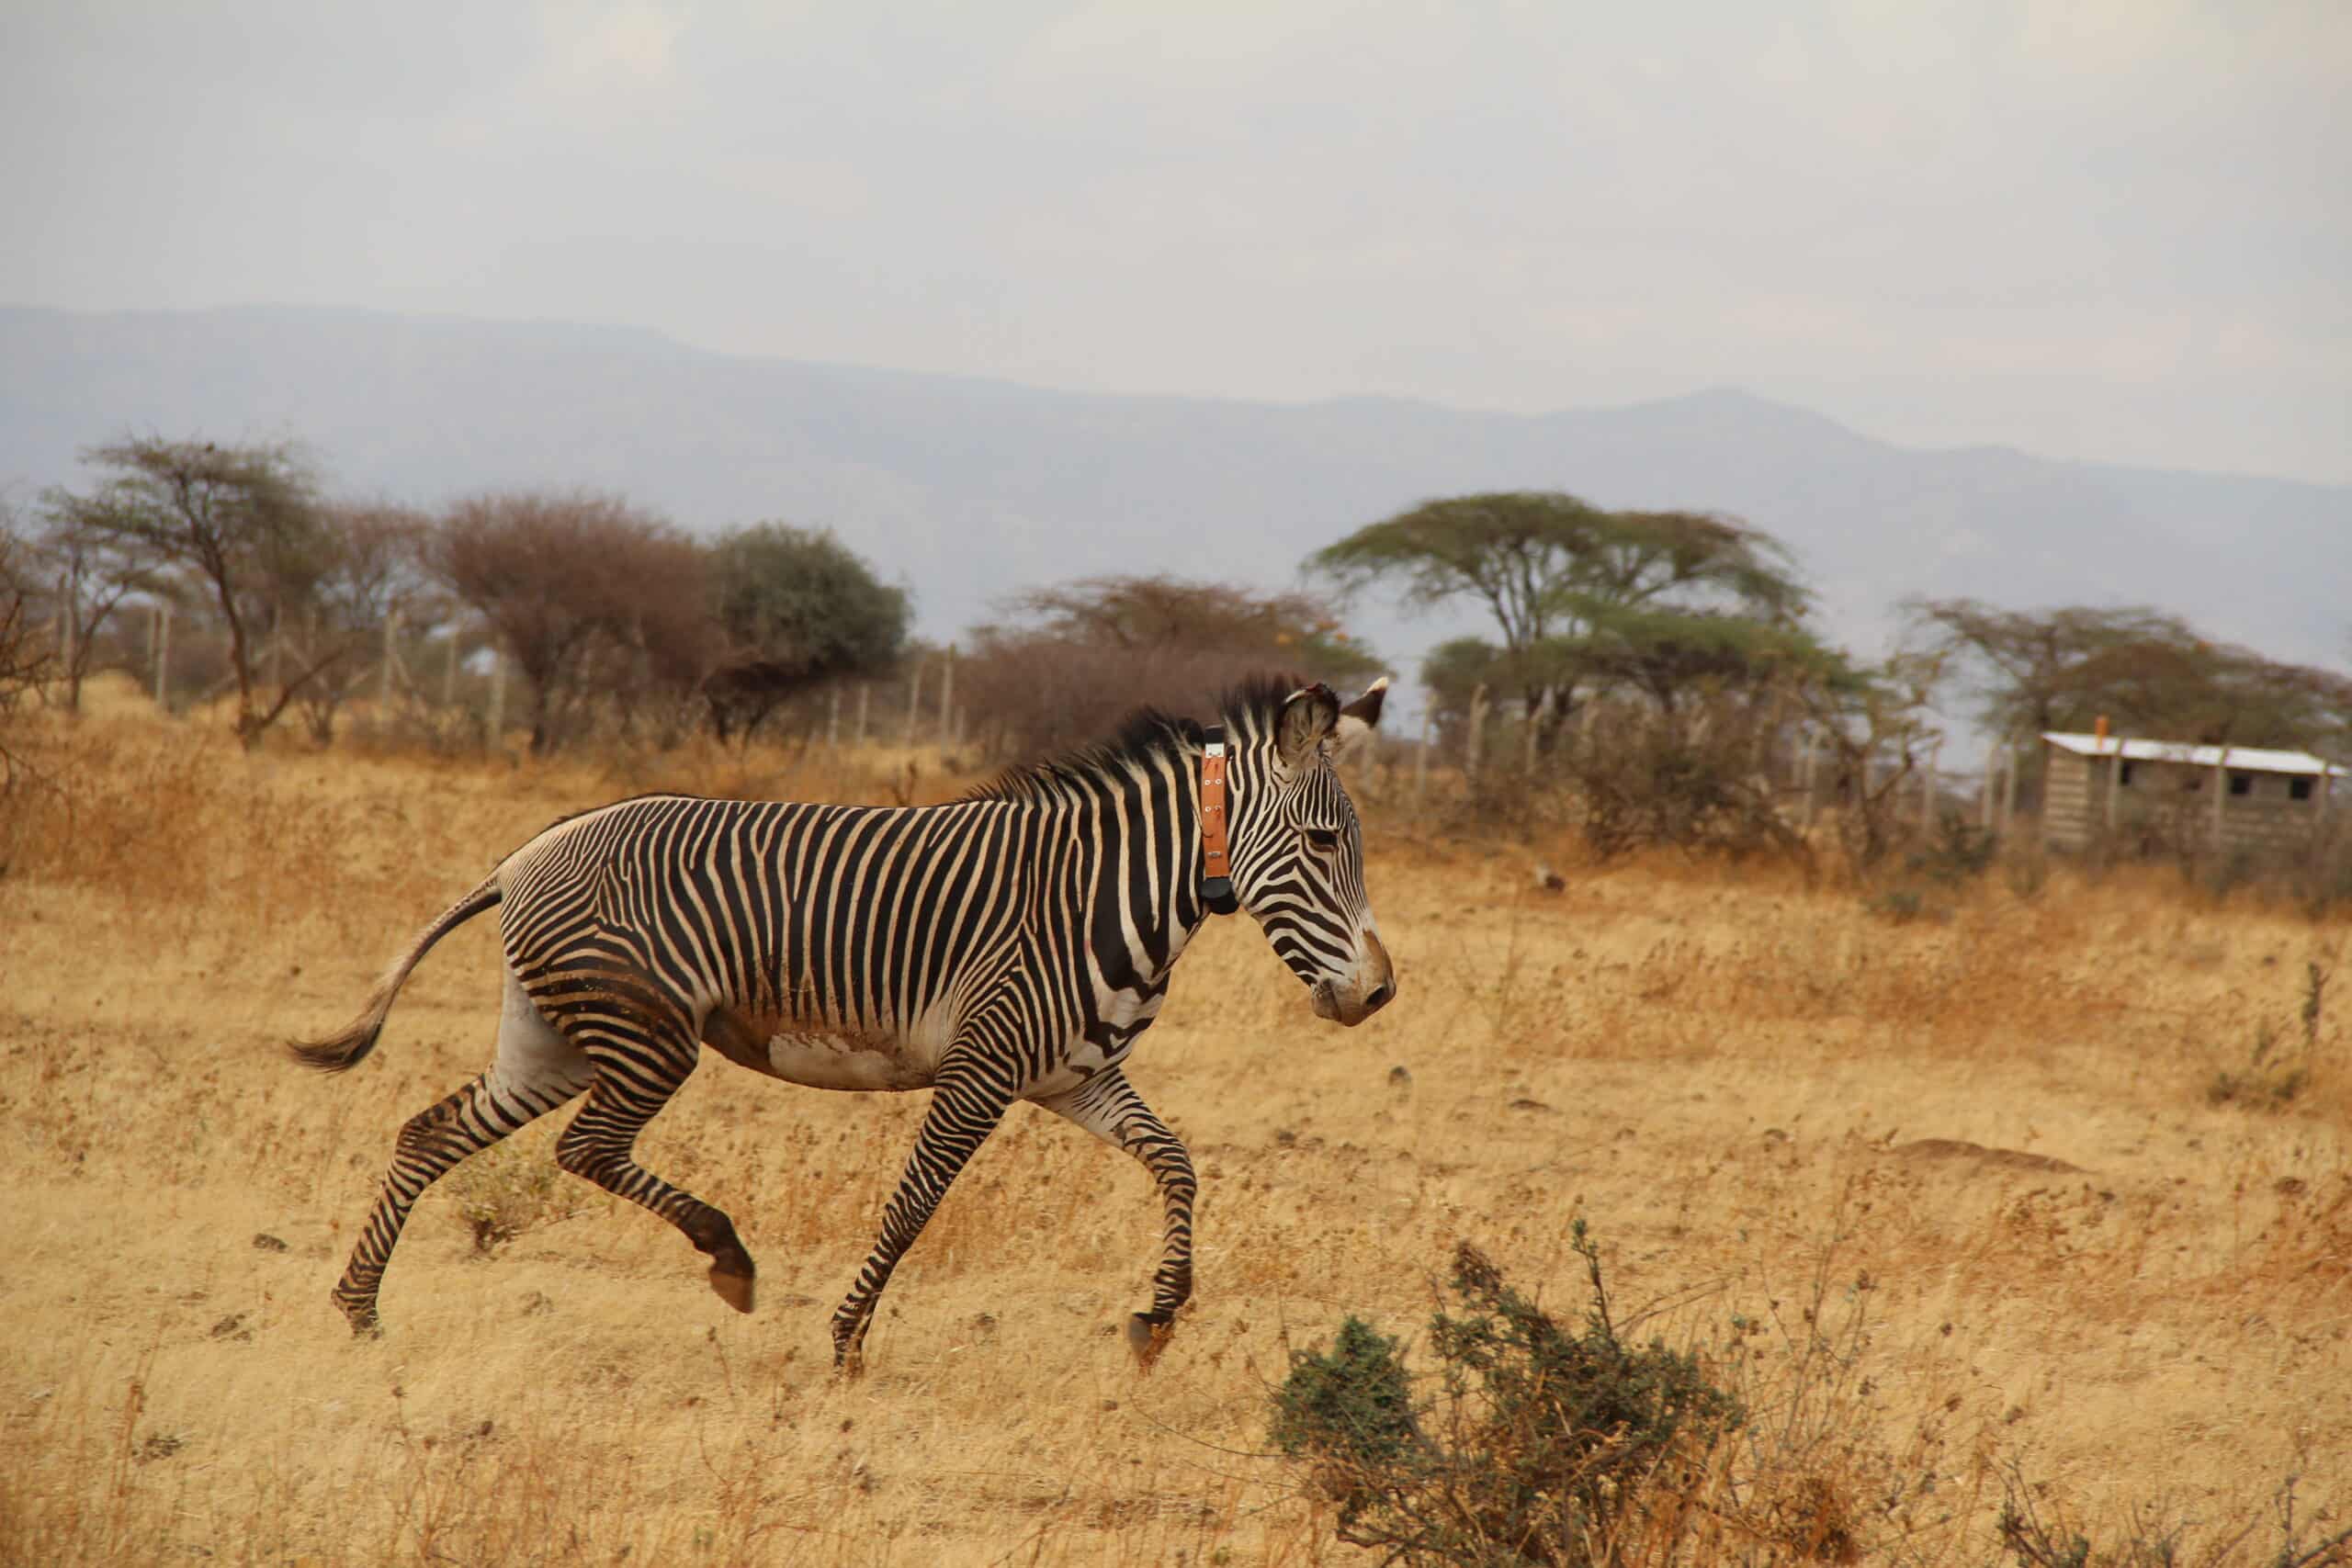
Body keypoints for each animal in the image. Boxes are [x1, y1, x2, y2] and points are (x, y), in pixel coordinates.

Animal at [292, 675, 1394, 1370]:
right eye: (1322, 841)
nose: (1379, 995)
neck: (1108, 894)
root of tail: (523, 854)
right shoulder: (983, 1068)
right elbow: (912, 1206)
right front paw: (846, 1342)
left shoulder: (1075, 1075)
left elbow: (1177, 1163)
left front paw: (1157, 1318)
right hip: (647, 1034)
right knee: (585, 1148)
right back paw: (729, 1260)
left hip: (550, 1036)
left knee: (431, 1133)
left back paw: (358, 1310)